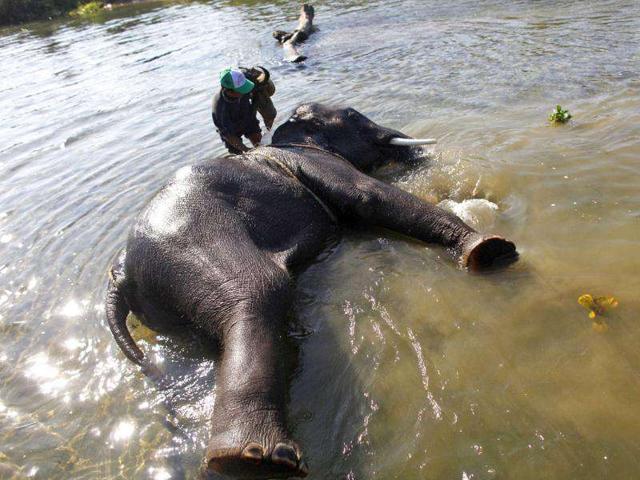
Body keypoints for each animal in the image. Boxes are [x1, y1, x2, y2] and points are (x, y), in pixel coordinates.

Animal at [105, 103, 518, 479]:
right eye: (353, 115)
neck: (293, 140)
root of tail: (120, 272)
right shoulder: (318, 164)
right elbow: (369, 197)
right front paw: (490, 249)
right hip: (194, 242)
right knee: (259, 292)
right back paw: (250, 459)